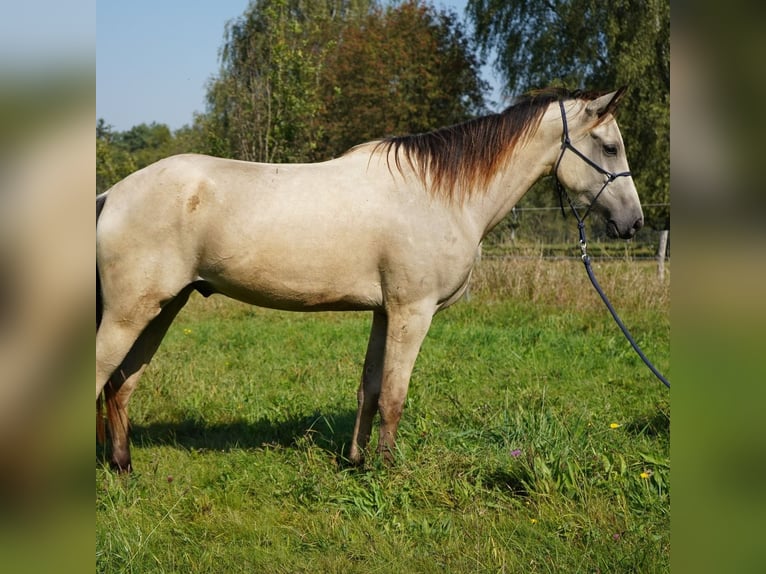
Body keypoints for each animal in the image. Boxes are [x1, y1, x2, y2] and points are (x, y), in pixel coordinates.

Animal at [97, 86, 648, 472]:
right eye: (610, 146)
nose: (634, 222)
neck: (438, 194)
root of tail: (111, 195)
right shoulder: (412, 311)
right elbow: (395, 393)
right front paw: (387, 468)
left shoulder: (385, 312)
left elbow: (369, 387)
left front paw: (358, 461)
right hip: (131, 313)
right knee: (105, 376)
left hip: (163, 308)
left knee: (121, 386)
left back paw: (124, 466)